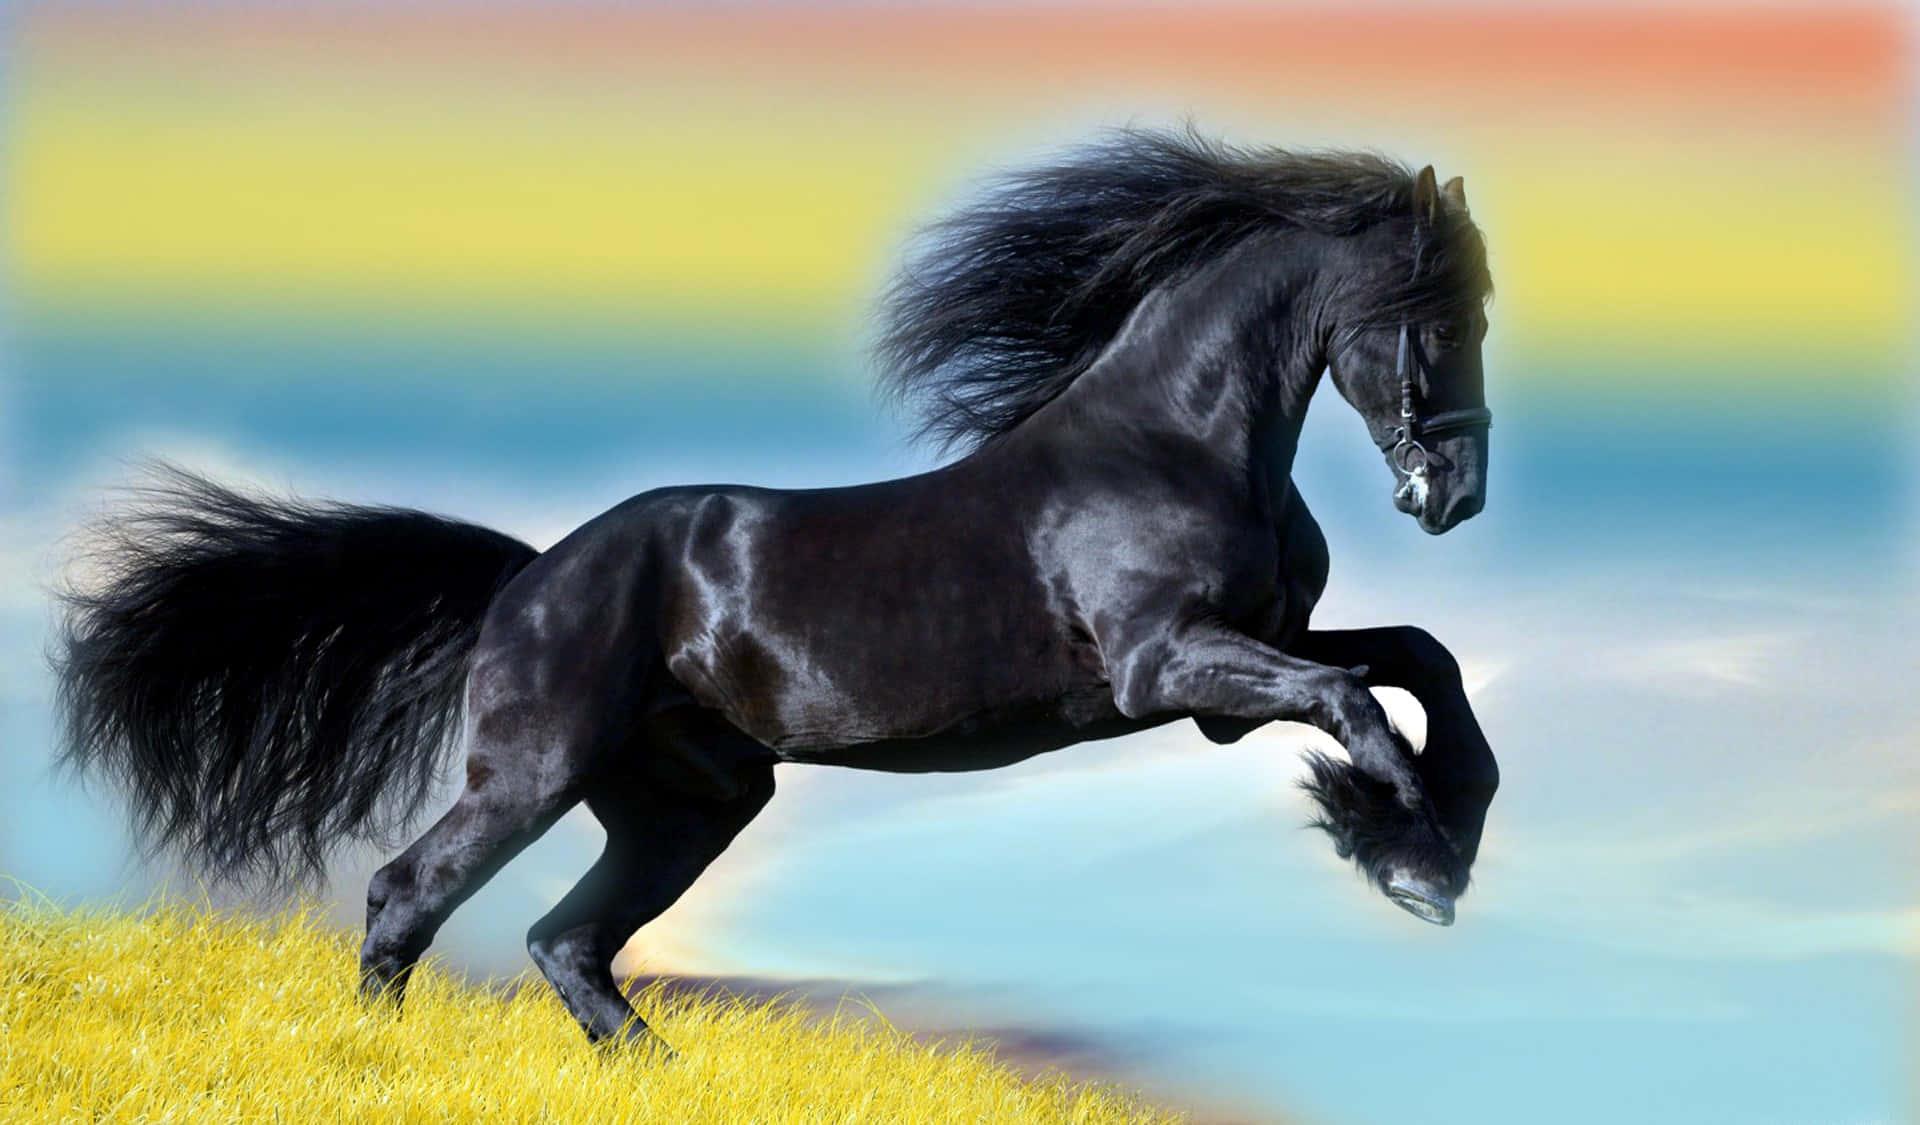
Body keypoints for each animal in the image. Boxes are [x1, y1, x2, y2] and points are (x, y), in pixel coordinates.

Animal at [55, 128, 1500, 1049]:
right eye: (1439, 314)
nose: (1456, 496)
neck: (1174, 442)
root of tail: (531, 578)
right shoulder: (1168, 668)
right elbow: (1356, 702)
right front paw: (1407, 856)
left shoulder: (1245, 658)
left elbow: (1418, 658)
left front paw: (1431, 833)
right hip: (535, 771)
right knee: (410, 895)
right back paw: (384, 1057)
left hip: (689, 800)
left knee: (567, 940)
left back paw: (657, 1069)